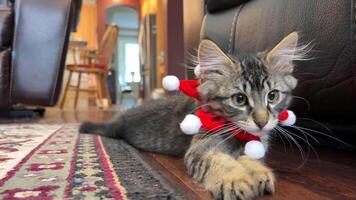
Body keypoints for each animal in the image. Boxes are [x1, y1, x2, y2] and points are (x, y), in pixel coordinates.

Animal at [80, 32, 306, 199]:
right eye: (240, 99)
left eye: (273, 96)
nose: (262, 122)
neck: (239, 135)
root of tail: (122, 119)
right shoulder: (201, 147)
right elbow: (220, 161)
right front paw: (235, 179)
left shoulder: (256, 144)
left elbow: (248, 157)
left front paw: (258, 172)